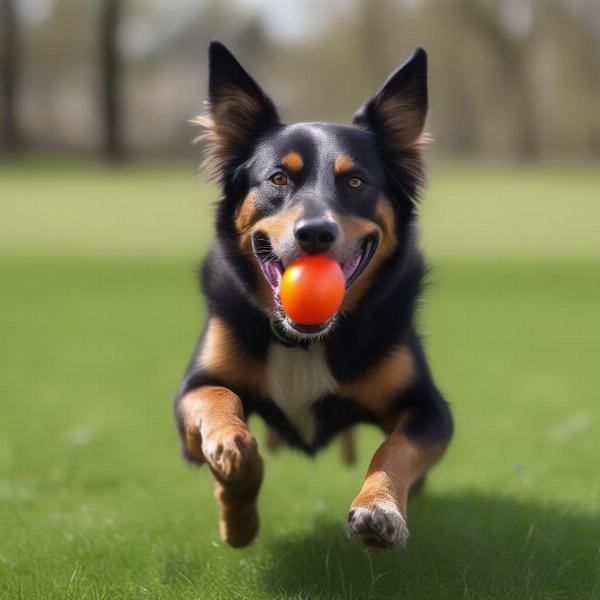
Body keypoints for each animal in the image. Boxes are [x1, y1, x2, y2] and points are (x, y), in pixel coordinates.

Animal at [176, 39, 452, 552]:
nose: (315, 234)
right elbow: (219, 401)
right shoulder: (193, 388)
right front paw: (236, 486)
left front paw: (379, 508)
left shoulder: (430, 409)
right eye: (278, 179)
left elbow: (395, 448)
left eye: (356, 181)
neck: (304, 340)